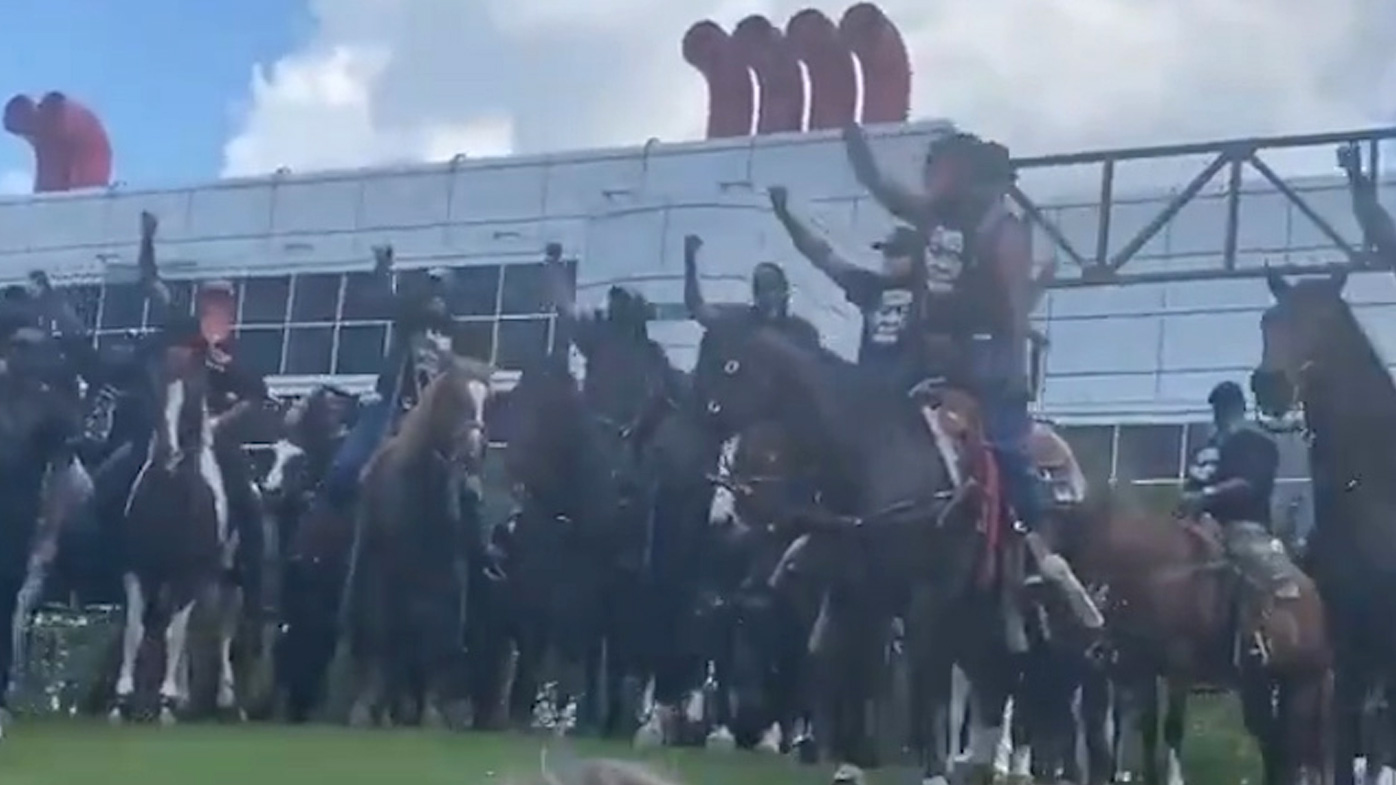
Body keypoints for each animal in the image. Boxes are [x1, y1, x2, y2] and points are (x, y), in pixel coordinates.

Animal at [111, 336, 242, 720]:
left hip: (227, 573)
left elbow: (174, 633)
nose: (170, 452)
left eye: (197, 391)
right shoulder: (139, 568)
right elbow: (135, 629)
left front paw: (166, 699)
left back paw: (223, 697)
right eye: (151, 388)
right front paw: (122, 699)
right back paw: (184, 695)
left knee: (222, 623)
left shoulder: (190, 571)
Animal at [340, 351, 494, 726]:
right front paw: (369, 710)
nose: (472, 453)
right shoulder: (384, 573)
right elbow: (384, 637)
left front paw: (432, 713)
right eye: (454, 397)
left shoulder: (448, 577)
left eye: (489, 402)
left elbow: (440, 638)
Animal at [1049, 483, 1328, 782]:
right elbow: (1148, 728)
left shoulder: (1177, 671)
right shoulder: (1146, 670)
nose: (1073, 635)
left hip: (1285, 688)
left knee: (1288, 746)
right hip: (1279, 687)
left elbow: (1172, 727)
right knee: (1281, 745)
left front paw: (1173, 778)